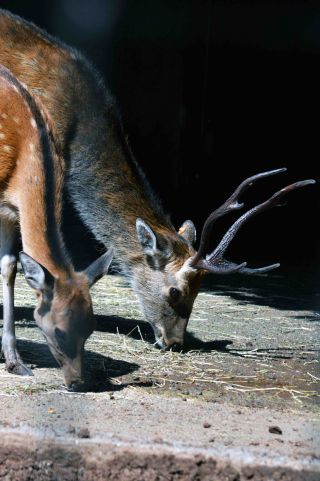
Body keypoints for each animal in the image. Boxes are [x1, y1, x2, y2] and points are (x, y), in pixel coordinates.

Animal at [0, 63, 114, 388]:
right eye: (59, 331)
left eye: (90, 328)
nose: (77, 382)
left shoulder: (9, 213)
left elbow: (9, 267)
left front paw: (15, 362)